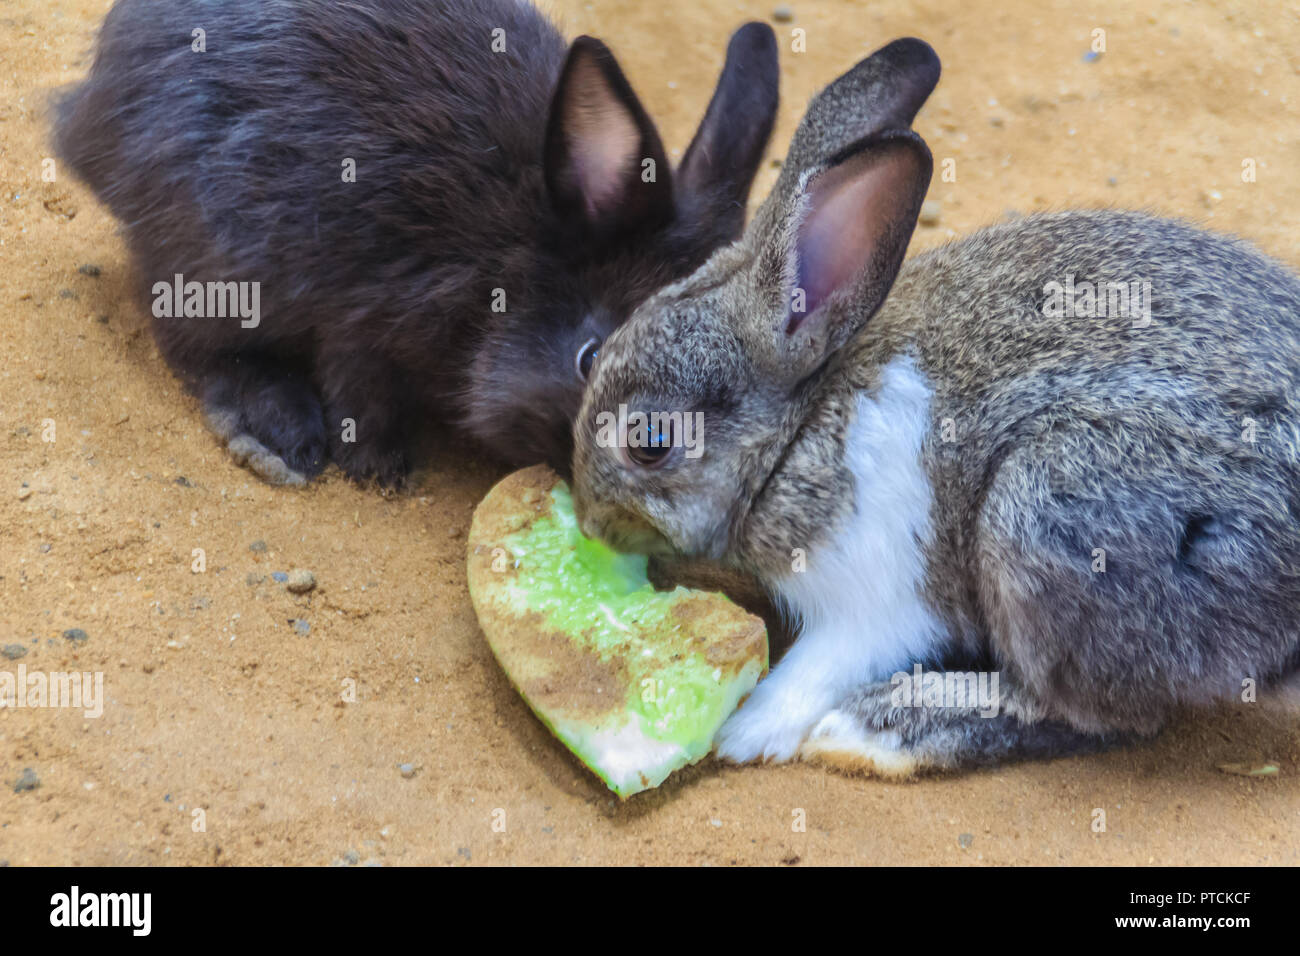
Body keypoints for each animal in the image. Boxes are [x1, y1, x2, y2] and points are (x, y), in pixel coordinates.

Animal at [53, 0, 779, 486]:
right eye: (589, 358)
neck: (510, 261)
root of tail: (89, 110)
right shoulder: (367, 314)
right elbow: (360, 389)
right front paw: (379, 469)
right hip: (216, 260)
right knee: (193, 345)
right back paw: (280, 434)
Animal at [569, 36, 1300, 775]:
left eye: (650, 442)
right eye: (593, 361)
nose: (591, 524)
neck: (798, 430)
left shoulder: (870, 596)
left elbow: (818, 665)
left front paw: (745, 733)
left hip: (1045, 513)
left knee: (1091, 713)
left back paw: (877, 728)